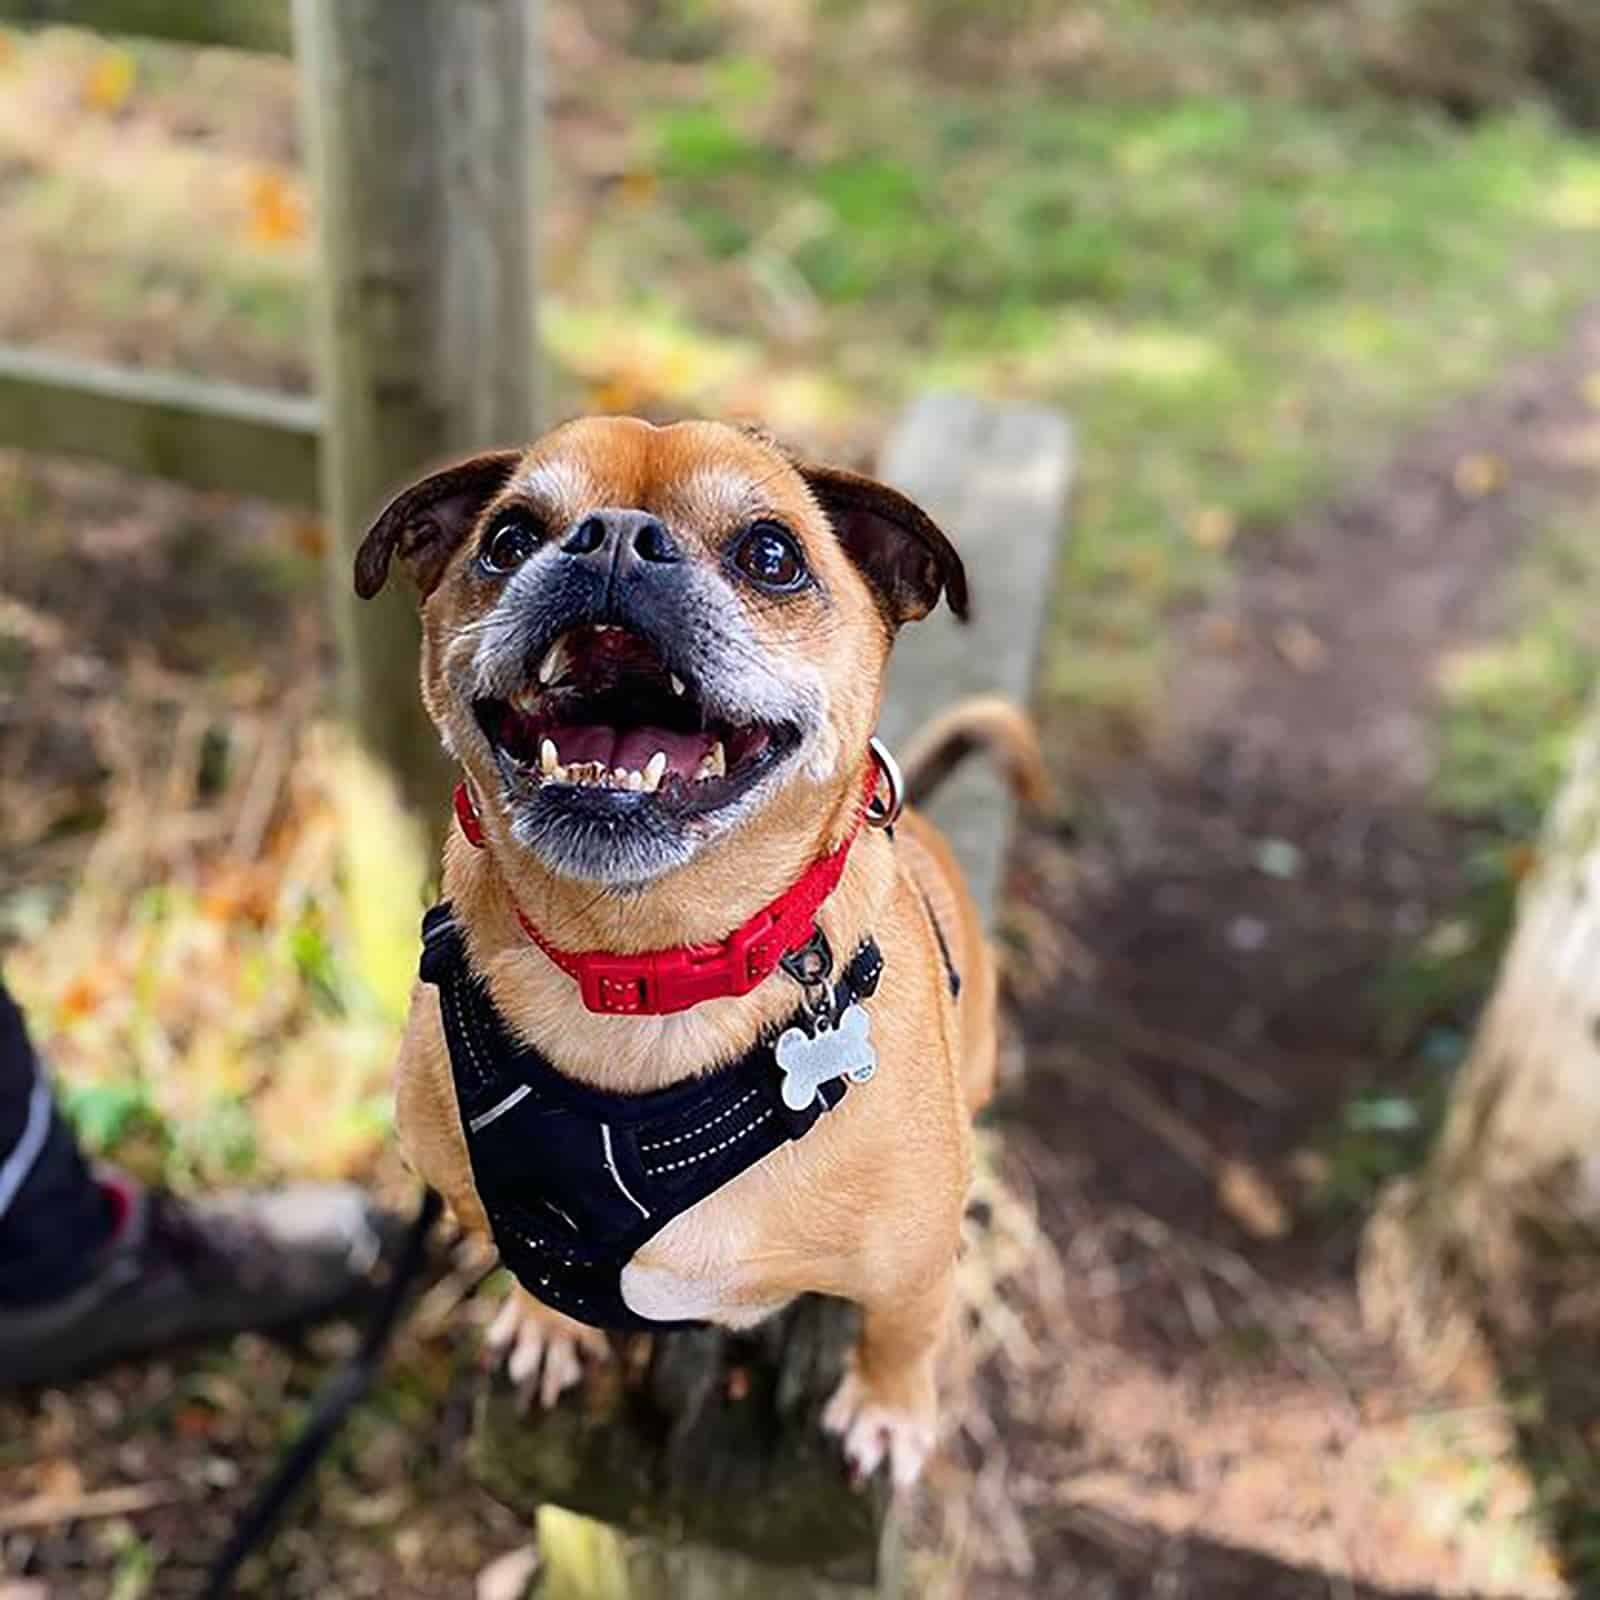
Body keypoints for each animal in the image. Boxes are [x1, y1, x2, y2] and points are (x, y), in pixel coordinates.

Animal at [356, 416, 1043, 1484]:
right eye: (507, 539)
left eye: (772, 556)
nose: (613, 538)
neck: (639, 972)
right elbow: (539, 1276)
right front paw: (548, 1330)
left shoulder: (916, 1263)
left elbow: (903, 1331)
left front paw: (889, 1411)